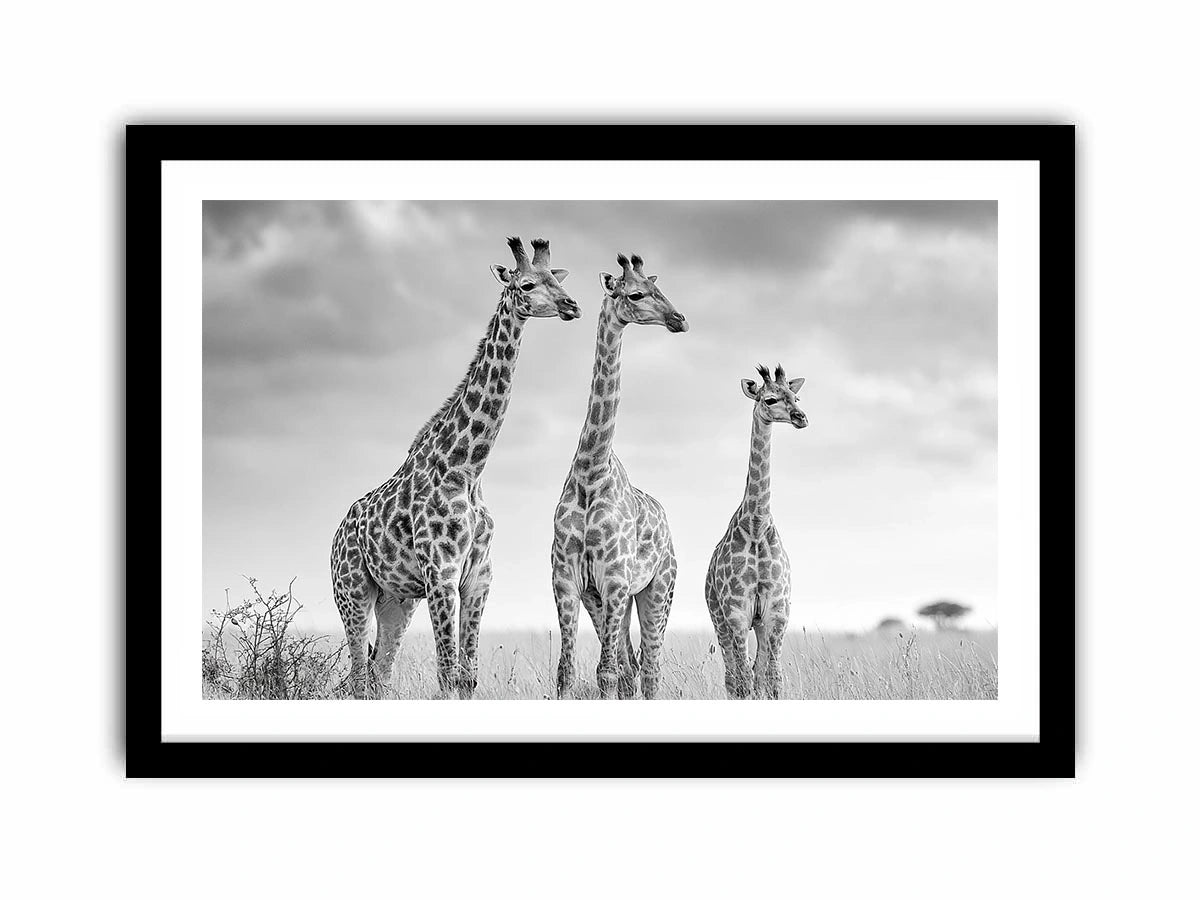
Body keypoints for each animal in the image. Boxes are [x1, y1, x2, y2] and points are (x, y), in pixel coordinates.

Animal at [331, 237, 581, 699]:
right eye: (526, 284)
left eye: (556, 279)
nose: (571, 305)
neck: (468, 468)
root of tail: (337, 534)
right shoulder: (441, 575)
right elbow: (448, 673)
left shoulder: (478, 577)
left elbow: (467, 676)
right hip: (352, 590)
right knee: (358, 675)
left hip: (396, 600)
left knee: (379, 673)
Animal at [551, 252, 688, 700]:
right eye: (636, 294)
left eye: (658, 287)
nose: (679, 319)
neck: (591, 472)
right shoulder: (570, 581)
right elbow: (568, 672)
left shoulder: (613, 580)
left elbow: (606, 673)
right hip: (612, 600)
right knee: (632, 668)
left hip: (657, 590)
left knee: (650, 669)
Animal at [705, 364, 808, 699]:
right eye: (770, 399)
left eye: (795, 397)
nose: (801, 417)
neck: (757, 526)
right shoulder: (737, 613)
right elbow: (745, 681)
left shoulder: (776, 612)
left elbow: (771, 679)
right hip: (719, 619)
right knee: (734, 677)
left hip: (757, 624)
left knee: (755, 672)